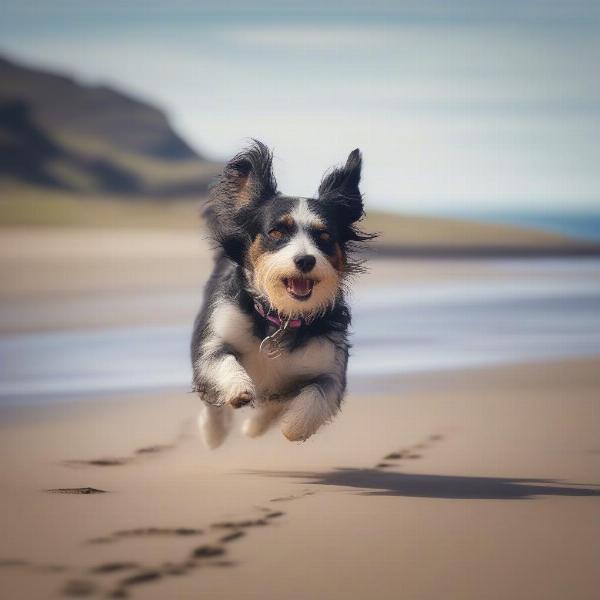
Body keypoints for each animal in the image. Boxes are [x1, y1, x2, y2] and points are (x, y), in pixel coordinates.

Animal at [190, 141, 372, 448]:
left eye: (324, 236)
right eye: (276, 232)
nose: (305, 260)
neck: (281, 316)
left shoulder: (330, 366)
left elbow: (317, 394)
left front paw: (294, 426)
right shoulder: (215, 338)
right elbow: (220, 361)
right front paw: (237, 391)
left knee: (274, 404)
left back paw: (255, 426)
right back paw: (213, 432)